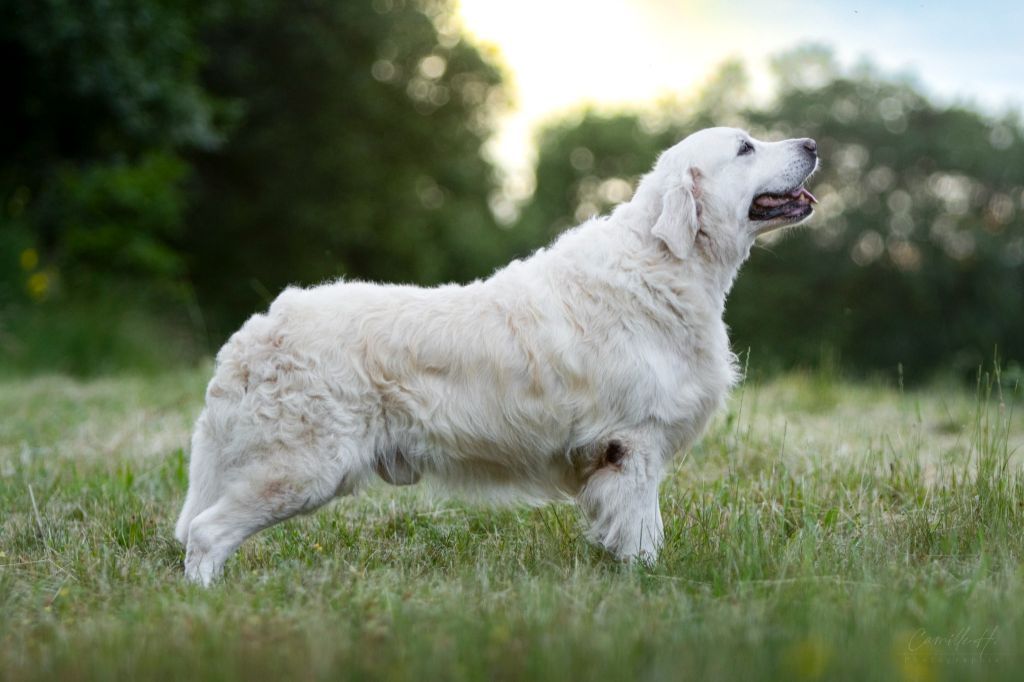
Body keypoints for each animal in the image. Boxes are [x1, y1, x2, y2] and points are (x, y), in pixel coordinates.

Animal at [174, 124, 815, 581]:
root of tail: (254, 333)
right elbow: (641, 534)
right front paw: (649, 583)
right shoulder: (633, 443)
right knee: (205, 532)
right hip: (302, 468)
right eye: (745, 147)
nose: (811, 144)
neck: (665, 267)